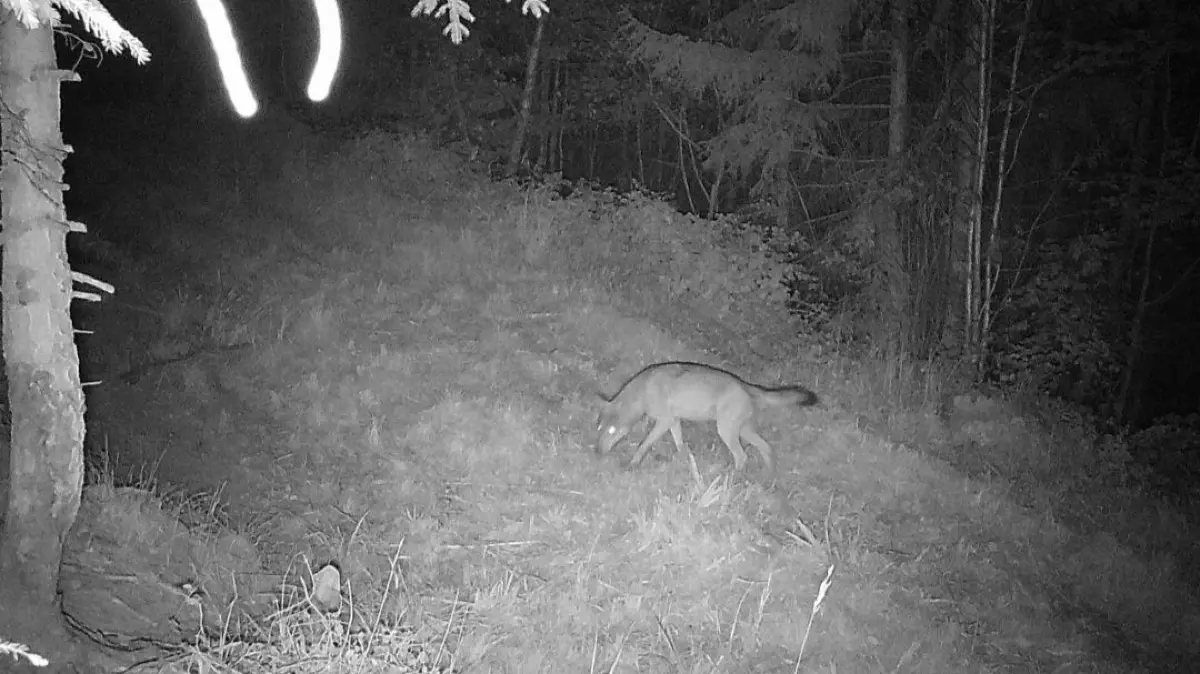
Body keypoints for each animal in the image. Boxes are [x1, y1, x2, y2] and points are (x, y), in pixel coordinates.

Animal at [596, 361, 818, 471]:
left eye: (612, 431)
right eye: (599, 430)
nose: (597, 452)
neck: (642, 390)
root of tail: (746, 384)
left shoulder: (664, 420)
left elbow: (644, 444)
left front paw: (632, 465)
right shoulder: (673, 421)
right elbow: (680, 444)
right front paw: (683, 462)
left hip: (726, 431)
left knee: (742, 456)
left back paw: (731, 478)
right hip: (742, 431)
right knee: (766, 448)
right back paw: (769, 477)